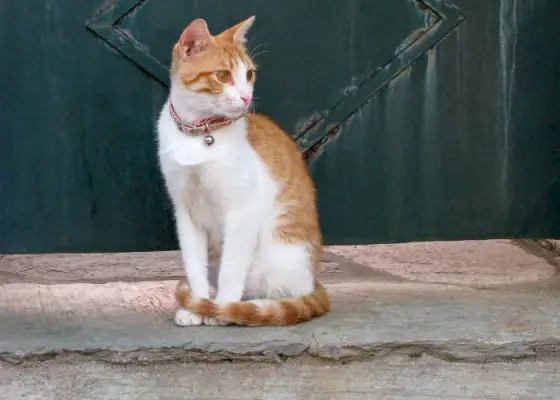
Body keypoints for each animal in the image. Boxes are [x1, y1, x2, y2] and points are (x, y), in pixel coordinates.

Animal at [155, 16, 330, 328]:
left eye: (248, 74)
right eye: (223, 75)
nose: (247, 97)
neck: (199, 134)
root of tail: (314, 279)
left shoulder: (242, 211)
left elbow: (232, 266)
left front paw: (223, 308)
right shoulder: (185, 212)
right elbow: (193, 263)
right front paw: (197, 306)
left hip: (280, 254)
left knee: (285, 295)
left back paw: (249, 306)